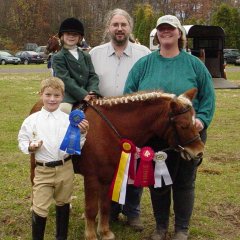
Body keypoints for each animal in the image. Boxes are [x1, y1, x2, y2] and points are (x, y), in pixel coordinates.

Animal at [29, 88, 203, 240]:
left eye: (195, 122)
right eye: (183, 125)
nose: (199, 152)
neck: (108, 130)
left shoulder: (108, 175)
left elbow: (105, 206)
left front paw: (105, 232)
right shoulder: (92, 178)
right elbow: (91, 208)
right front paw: (91, 235)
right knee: (34, 182)